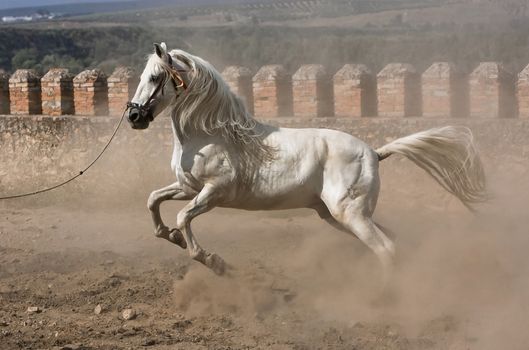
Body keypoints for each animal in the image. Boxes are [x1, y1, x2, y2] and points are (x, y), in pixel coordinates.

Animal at [126, 43, 484, 284]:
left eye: (156, 77)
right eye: (142, 76)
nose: (133, 116)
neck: (210, 133)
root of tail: (373, 151)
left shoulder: (214, 192)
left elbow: (184, 216)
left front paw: (214, 261)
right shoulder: (188, 187)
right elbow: (153, 200)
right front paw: (169, 235)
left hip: (349, 214)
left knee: (385, 249)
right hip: (337, 216)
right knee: (391, 240)